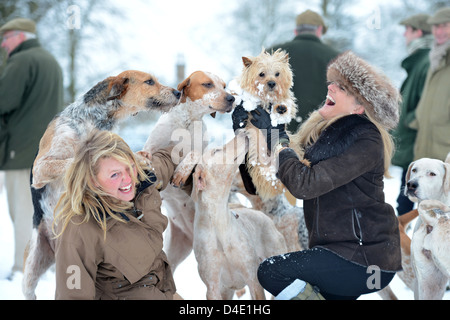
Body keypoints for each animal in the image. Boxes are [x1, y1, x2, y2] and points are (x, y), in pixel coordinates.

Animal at [230, 48, 298, 199]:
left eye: (277, 74)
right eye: (261, 74)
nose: (272, 83)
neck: (266, 98)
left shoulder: (285, 98)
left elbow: (286, 102)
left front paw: (281, 108)